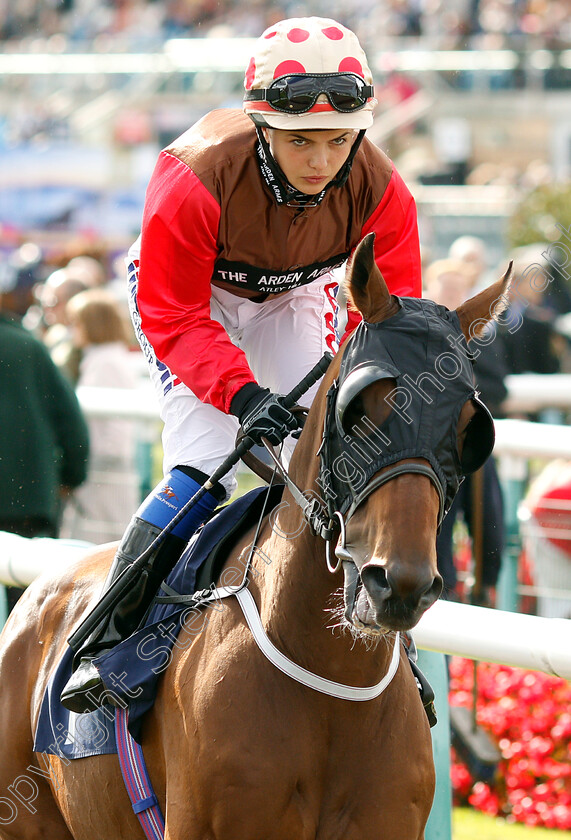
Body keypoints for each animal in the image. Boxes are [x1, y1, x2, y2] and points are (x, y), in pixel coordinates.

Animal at [0, 235, 510, 840]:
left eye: (470, 428)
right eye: (359, 407)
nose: (399, 584)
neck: (331, 678)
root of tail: (39, 586)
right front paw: (260, 410)